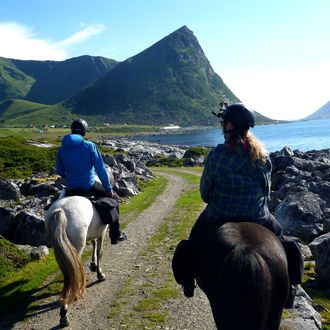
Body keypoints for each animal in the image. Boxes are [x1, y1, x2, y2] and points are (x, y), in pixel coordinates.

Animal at [45, 166, 114, 326]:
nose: (112, 190)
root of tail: (61, 210)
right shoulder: (102, 233)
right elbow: (100, 252)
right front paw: (99, 273)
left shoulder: (92, 233)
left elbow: (93, 245)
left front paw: (93, 265)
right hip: (77, 245)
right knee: (73, 270)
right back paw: (65, 312)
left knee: (68, 270)